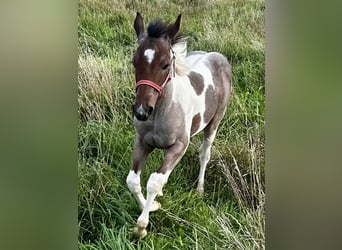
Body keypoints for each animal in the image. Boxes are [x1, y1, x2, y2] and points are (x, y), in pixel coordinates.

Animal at [126, 12, 232, 239]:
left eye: (166, 64)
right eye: (134, 62)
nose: (141, 111)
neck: (160, 113)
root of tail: (216, 55)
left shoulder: (179, 146)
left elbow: (154, 181)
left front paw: (141, 227)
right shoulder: (142, 142)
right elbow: (133, 180)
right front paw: (153, 205)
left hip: (215, 122)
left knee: (205, 153)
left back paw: (200, 189)